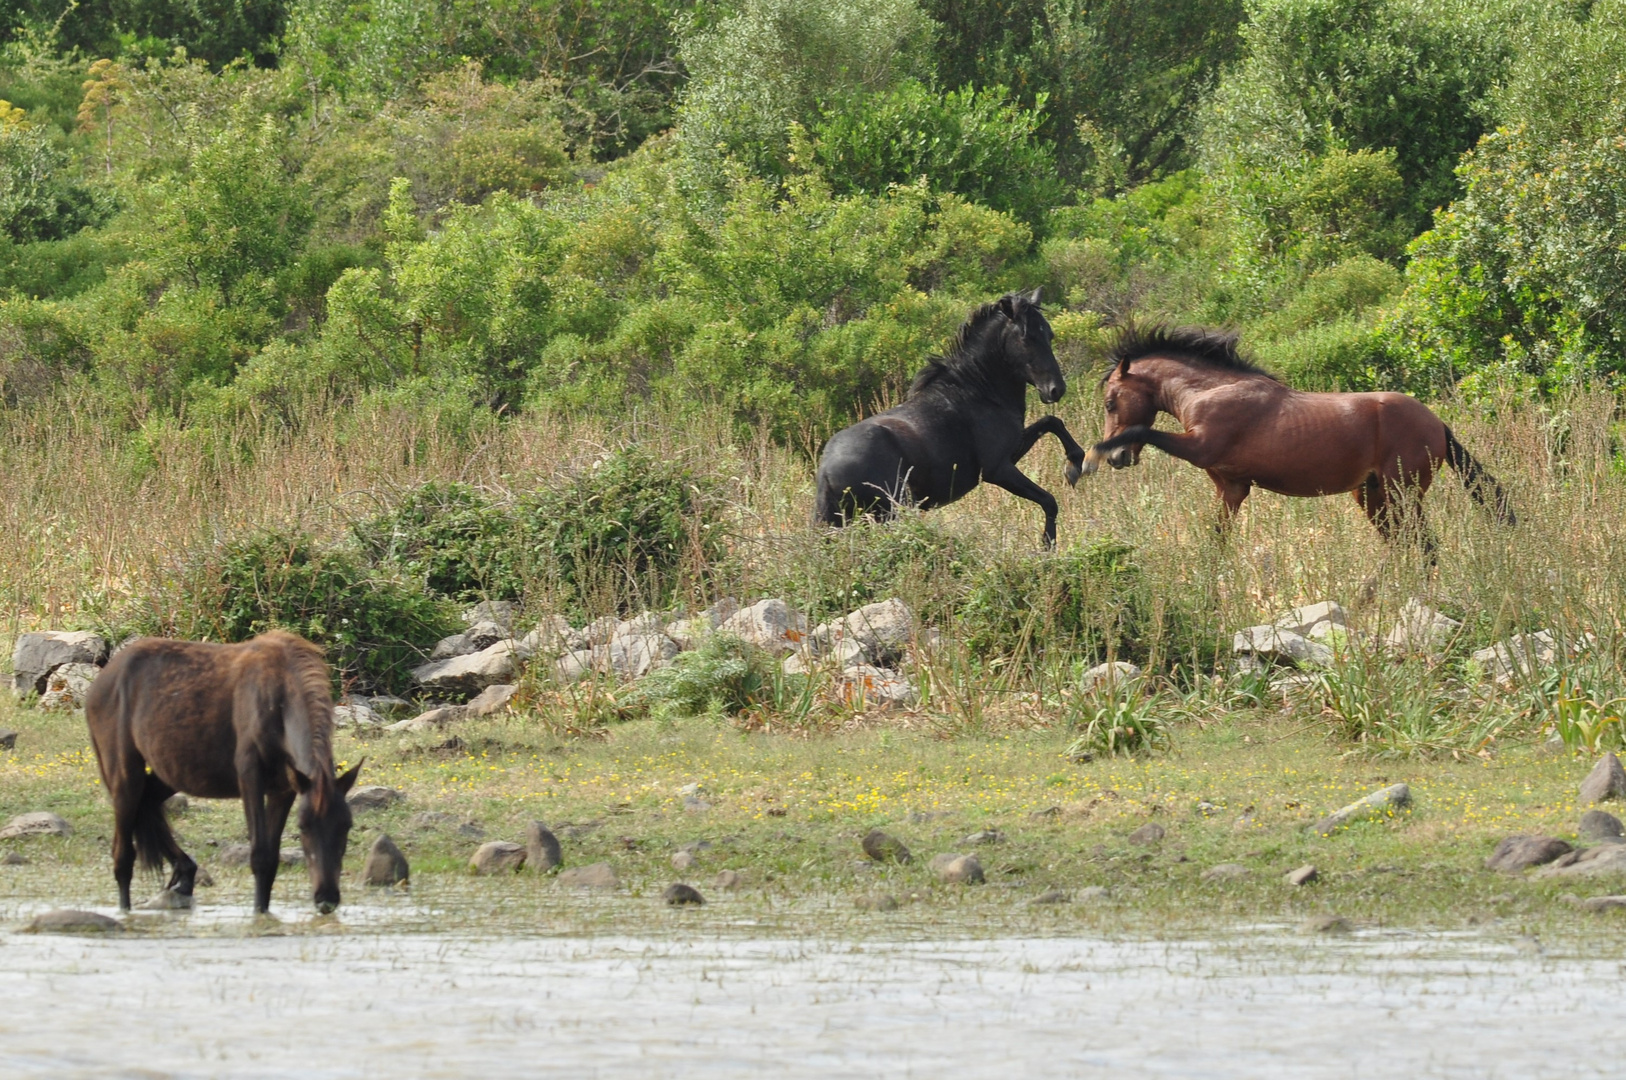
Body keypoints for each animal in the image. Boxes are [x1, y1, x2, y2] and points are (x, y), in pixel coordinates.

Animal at [84, 627, 360, 917]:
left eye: (346, 825)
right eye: (303, 826)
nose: (326, 898)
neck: (279, 700)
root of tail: (100, 683)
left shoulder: (284, 789)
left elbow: (272, 859)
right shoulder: (250, 776)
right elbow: (260, 856)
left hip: (168, 773)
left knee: (147, 805)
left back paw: (184, 874)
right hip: (124, 775)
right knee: (123, 856)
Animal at [813, 286, 1092, 543]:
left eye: (1048, 333)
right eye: (1026, 337)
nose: (1055, 389)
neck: (978, 390)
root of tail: (826, 472)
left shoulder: (1013, 450)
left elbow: (1052, 422)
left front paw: (1075, 463)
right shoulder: (998, 469)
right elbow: (1049, 501)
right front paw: (1048, 545)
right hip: (891, 513)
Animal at [1079, 322, 1508, 549]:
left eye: (1110, 402)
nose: (1120, 459)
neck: (1209, 391)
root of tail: (1438, 424)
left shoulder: (1200, 447)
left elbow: (1143, 428)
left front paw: (1085, 460)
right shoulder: (1231, 488)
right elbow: (1216, 542)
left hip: (1401, 492)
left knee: (1423, 545)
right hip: (1372, 497)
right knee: (1405, 545)